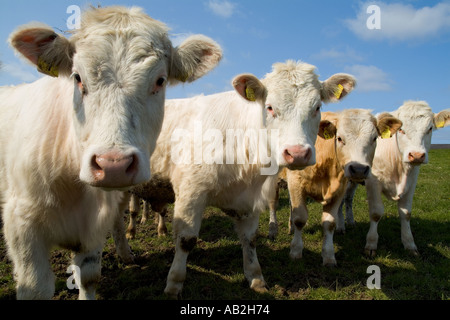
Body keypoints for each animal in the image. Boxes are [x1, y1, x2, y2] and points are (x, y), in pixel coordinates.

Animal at [0, 5, 222, 300]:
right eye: (77, 77)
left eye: (160, 80)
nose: (113, 165)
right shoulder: (22, 225)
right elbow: (36, 288)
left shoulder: (95, 225)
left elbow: (89, 276)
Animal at [270, 109, 400, 264]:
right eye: (339, 138)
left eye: (374, 138)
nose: (359, 169)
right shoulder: (296, 182)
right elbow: (300, 219)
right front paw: (295, 251)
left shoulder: (339, 190)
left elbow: (329, 223)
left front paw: (329, 256)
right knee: (273, 205)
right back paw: (273, 230)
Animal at [342, 101, 450, 256]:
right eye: (401, 130)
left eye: (430, 129)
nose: (417, 155)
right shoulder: (373, 183)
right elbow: (376, 213)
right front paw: (371, 244)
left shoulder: (412, 183)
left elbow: (406, 213)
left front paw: (410, 244)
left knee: (348, 198)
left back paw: (350, 222)